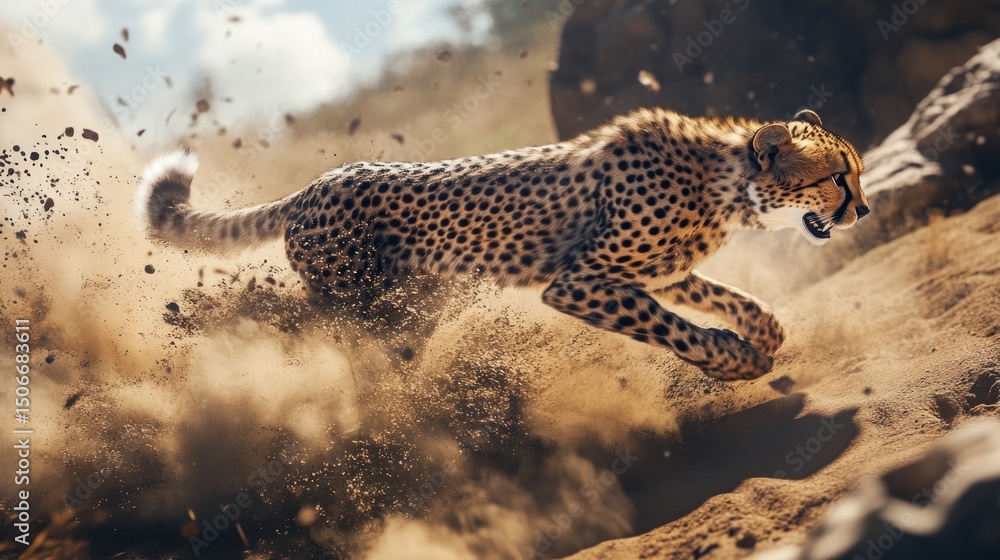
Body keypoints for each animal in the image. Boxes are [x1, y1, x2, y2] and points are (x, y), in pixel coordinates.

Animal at [135, 107, 868, 381]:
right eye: (838, 175)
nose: (863, 208)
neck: (724, 184)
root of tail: (314, 184)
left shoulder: (656, 272)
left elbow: (726, 294)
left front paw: (764, 331)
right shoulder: (578, 282)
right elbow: (673, 326)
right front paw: (732, 360)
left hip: (414, 305)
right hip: (357, 306)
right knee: (303, 329)